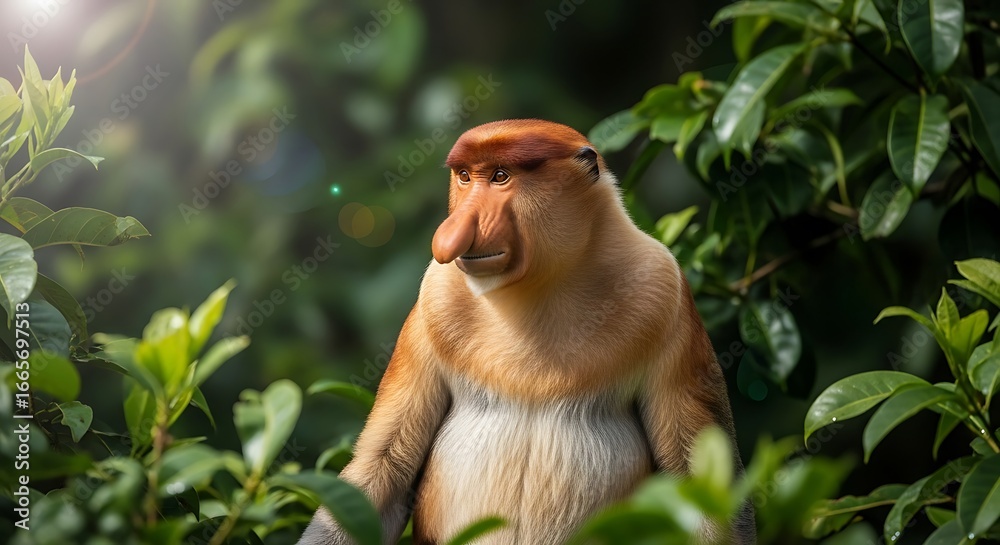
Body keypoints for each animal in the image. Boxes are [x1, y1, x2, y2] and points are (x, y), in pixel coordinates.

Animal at [299, 119, 755, 545]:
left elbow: (699, 481)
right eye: (465, 176)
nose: (450, 234)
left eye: (501, 176)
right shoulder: (433, 302)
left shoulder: (664, 291)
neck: (542, 288)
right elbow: (385, 468)